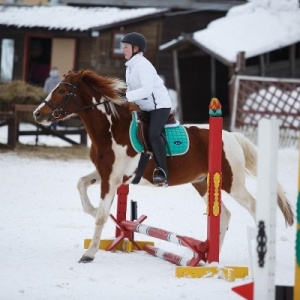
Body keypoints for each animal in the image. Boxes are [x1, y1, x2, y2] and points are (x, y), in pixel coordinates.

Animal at [32, 69, 292, 262]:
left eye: (63, 90)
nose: (37, 114)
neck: (110, 129)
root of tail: (232, 137)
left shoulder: (111, 179)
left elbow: (101, 216)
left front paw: (89, 254)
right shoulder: (107, 174)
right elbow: (82, 186)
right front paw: (94, 210)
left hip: (232, 184)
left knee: (254, 206)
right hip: (203, 183)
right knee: (225, 214)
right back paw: (210, 257)